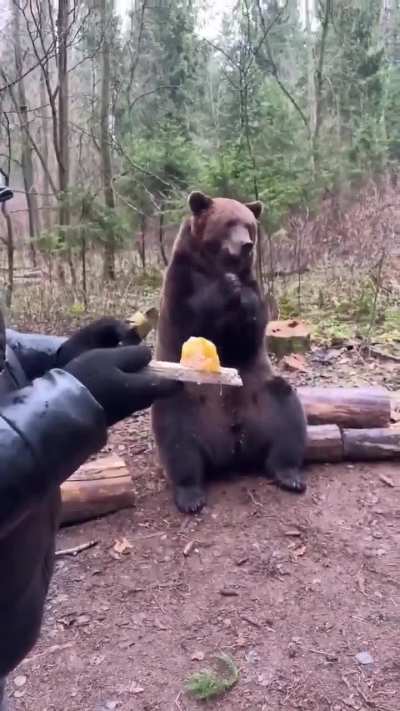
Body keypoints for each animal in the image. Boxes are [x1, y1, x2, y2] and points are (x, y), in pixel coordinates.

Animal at [151, 191, 307, 514]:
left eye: (249, 225)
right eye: (228, 223)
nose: (246, 245)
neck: (214, 265)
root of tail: (232, 449)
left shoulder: (253, 286)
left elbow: (248, 333)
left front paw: (241, 295)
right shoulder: (181, 281)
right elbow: (189, 324)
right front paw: (227, 288)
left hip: (261, 395)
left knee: (286, 414)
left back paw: (289, 474)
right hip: (187, 400)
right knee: (177, 438)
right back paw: (190, 494)